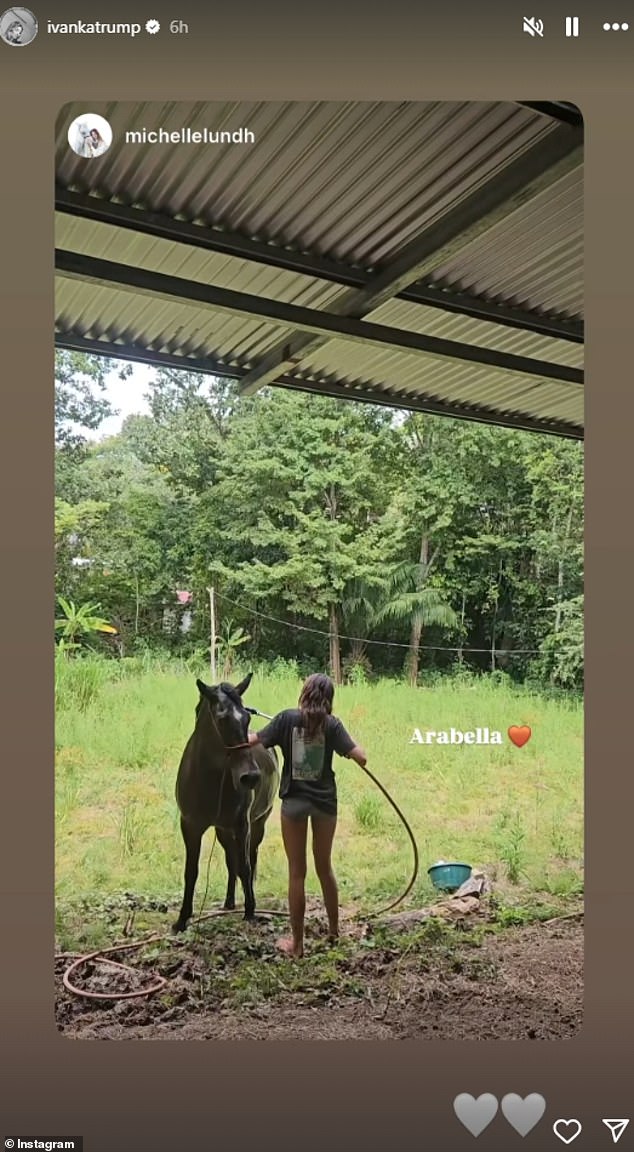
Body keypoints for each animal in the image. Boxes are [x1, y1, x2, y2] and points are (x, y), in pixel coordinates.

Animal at [171, 672, 278, 930]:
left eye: (247, 717)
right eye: (221, 719)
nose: (250, 776)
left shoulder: (242, 825)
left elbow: (246, 868)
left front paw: (250, 910)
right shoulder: (190, 826)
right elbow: (191, 871)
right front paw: (182, 919)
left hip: (257, 824)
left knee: (249, 858)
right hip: (222, 830)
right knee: (231, 860)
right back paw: (229, 901)